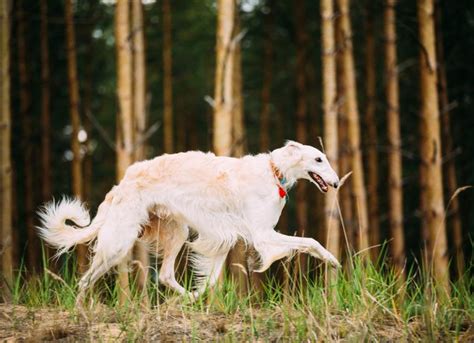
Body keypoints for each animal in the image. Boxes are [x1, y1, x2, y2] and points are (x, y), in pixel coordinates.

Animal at [37, 141, 340, 300]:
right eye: (318, 159)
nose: (337, 183)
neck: (273, 171)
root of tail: (121, 184)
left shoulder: (226, 235)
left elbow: (212, 277)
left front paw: (202, 293)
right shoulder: (262, 234)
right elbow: (310, 241)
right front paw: (333, 260)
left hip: (177, 232)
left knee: (165, 275)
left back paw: (189, 299)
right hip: (119, 241)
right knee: (85, 281)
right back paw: (82, 311)